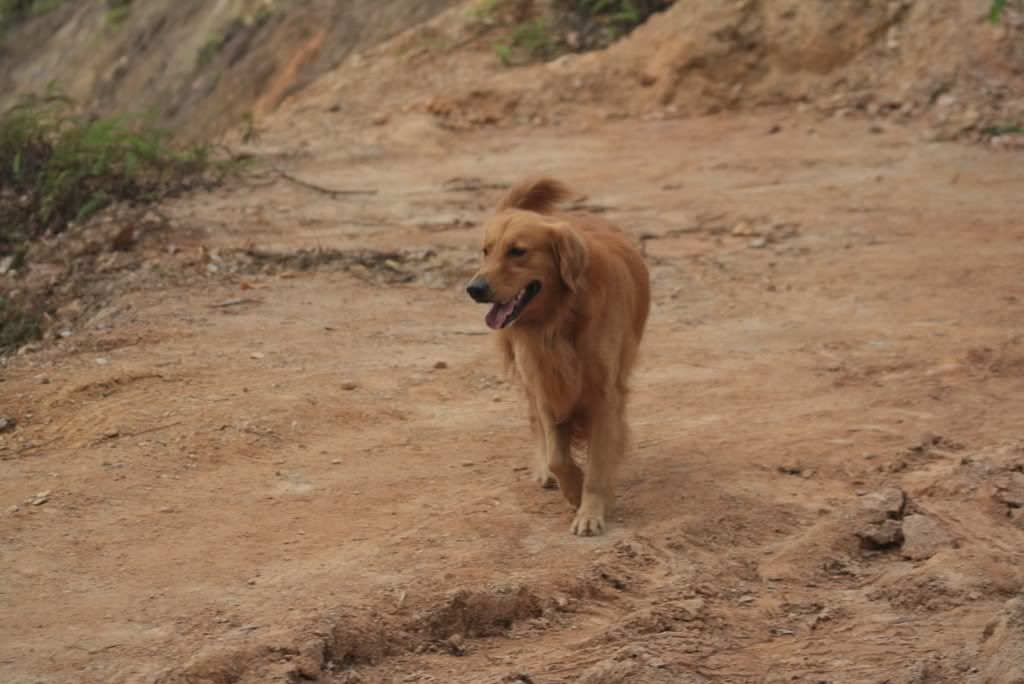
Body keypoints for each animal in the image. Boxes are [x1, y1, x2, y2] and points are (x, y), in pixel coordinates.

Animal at [466, 177, 650, 536]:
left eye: (518, 251)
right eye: (485, 251)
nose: (474, 289)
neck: (560, 319)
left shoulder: (605, 395)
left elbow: (598, 463)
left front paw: (590, 511)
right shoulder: (547, 384)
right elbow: (558, 455)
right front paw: (574, 489)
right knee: (534, 421)